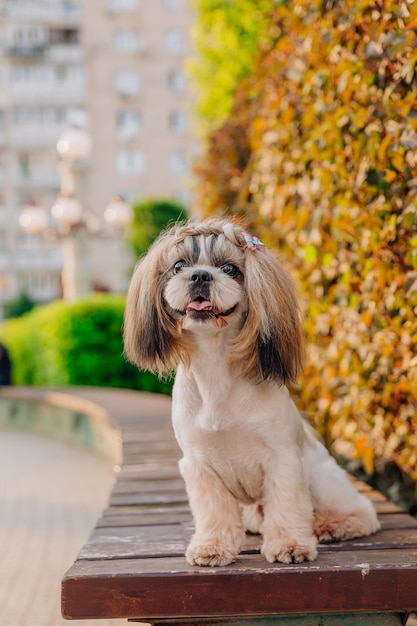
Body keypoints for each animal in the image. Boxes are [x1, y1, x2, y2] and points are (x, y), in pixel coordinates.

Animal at [122, 218, 378, 564]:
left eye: (230, 269)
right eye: (179, 266)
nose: (200, 275)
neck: (216, 366)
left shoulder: (283, 459)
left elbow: (287, 505)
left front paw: (290, 545)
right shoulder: (199, 465)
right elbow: (215, 512)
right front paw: (212, 546)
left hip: (321, 478)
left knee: (360, 512)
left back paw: (332, 526)